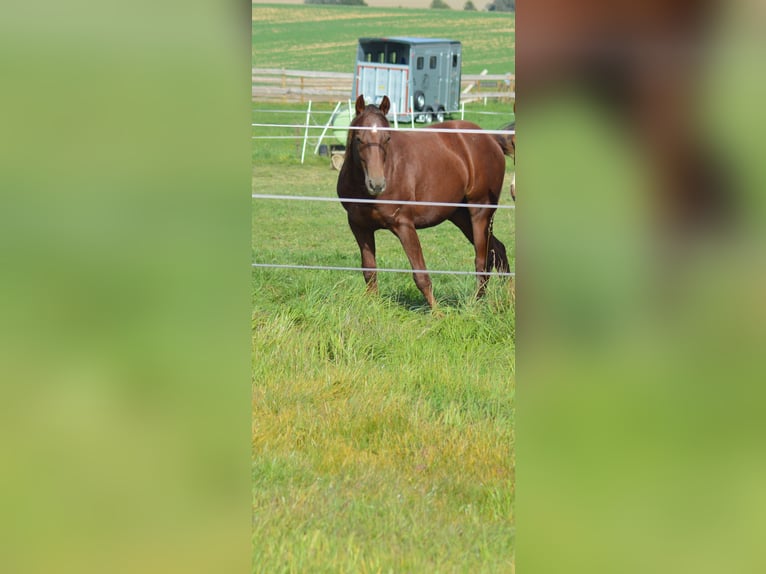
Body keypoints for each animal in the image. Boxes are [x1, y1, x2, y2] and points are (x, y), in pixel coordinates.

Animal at [338, 95, 512, 310]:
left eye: (387, 138)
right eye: (359, 138)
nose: (377, 184)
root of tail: (491, 139)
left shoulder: (404, 225)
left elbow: (421, 275)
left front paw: (438, 313)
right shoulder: (360, 227)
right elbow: (369, 271)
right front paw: (373, 307)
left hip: (480, 213)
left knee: (483, 260)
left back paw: (474, 305)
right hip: (461, 216)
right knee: (498, 250)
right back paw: (507, 296)